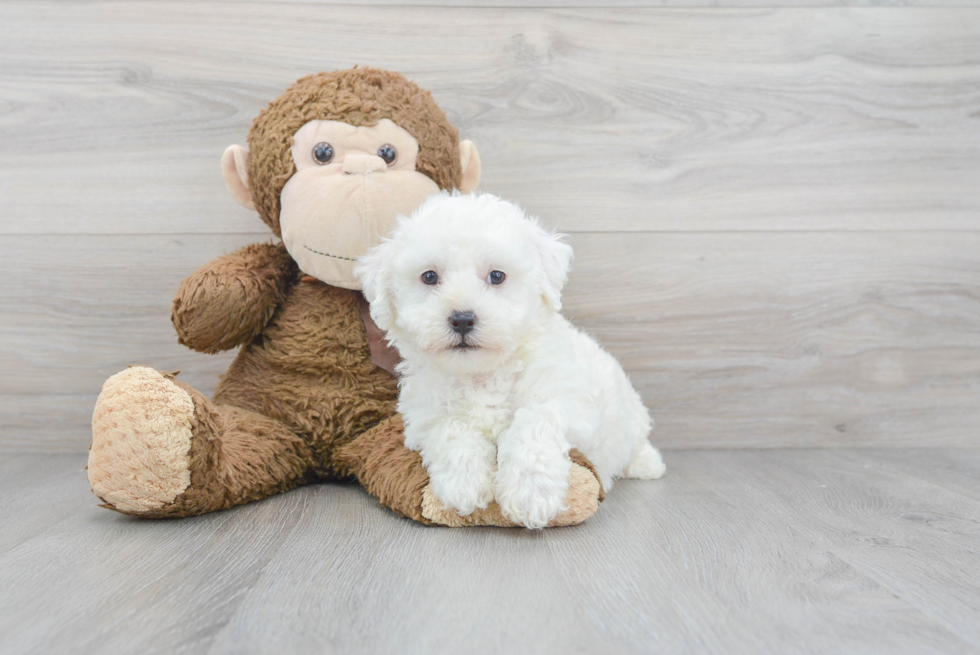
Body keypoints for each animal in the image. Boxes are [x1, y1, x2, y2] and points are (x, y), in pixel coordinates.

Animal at [356, 193, 664, 528]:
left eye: (497, 276)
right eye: (429, 277)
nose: (462, 319)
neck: (482, 373)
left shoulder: (565, 399)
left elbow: (533, 423)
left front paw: (531, 492)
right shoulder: (425, 415)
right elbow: (452, 428)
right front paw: (462, 482)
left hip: (629, 413)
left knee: (634, 442)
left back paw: (647, 464)